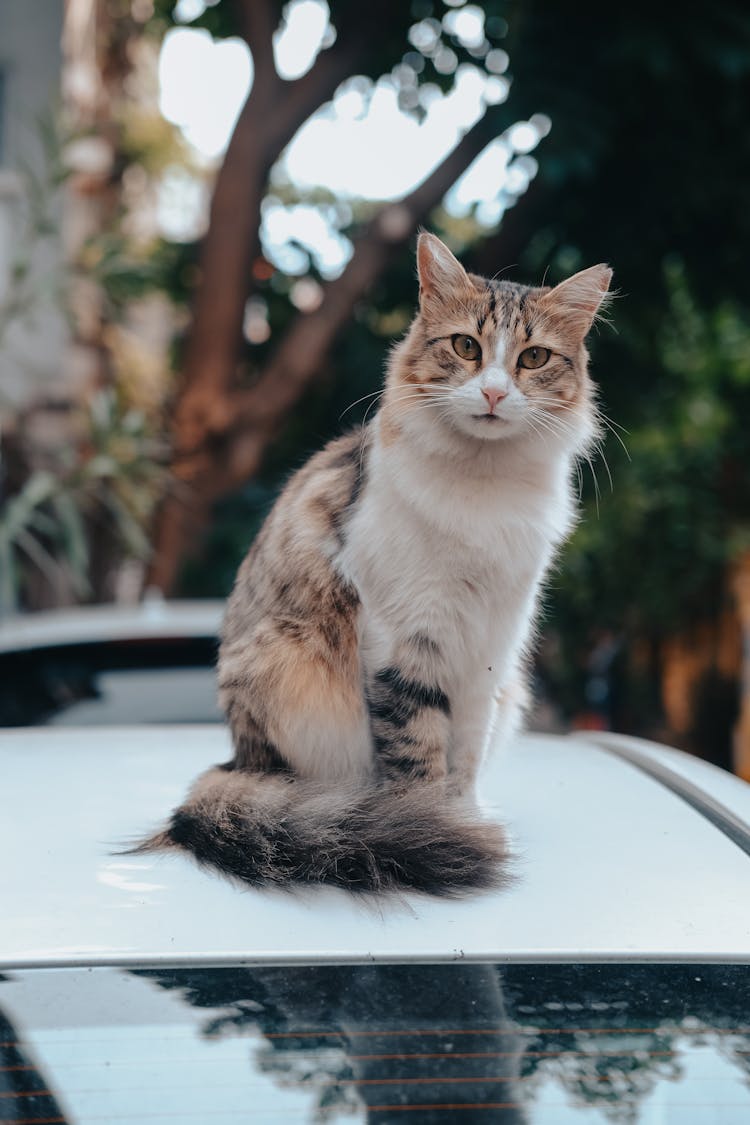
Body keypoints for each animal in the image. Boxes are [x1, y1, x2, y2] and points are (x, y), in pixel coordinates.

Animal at [134, 235, 611, 895]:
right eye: (467, 347)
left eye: (534, 357)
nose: (493, 393)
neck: (484, 485)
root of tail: (238, 759)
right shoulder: (407, 636)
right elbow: (418, 753)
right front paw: (434, 830)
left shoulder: (489, 646)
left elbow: (464, 752)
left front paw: (461, 817)